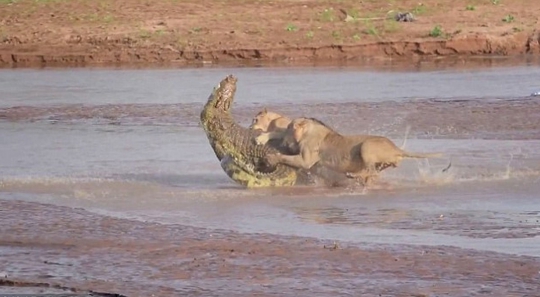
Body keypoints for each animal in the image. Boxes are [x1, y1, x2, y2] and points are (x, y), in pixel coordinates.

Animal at [262, 117, 442, 186]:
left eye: (289, 127)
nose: (284, 141)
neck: (308, 130)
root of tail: (397, 148)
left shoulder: (306, 159)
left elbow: (286, 157)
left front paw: (271, 157)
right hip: (383, 163)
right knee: (372, 172)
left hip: (366, 146)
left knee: (370, 171)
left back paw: (353, 176)